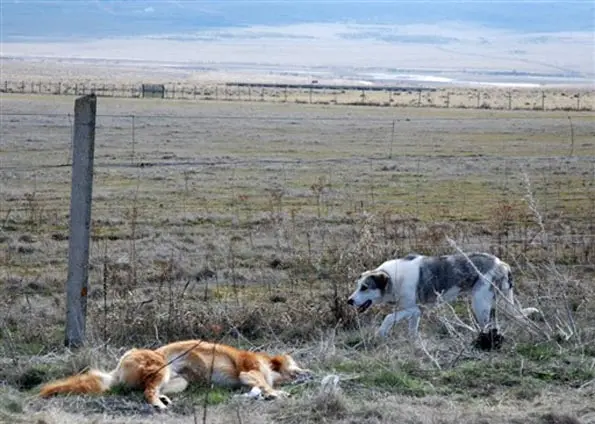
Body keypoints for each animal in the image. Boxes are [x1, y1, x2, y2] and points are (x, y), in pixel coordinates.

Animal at [350, 252, 540, 348]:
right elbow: (412, 331)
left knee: (490, 327)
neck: (393, 278)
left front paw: (381, 333)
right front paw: (414, 344)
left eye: (365, 287)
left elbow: (389, 317)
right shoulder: (415, 313)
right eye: (357, 285)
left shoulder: (415, 309)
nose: (349, 301)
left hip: (480, 303)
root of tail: (503, 264)